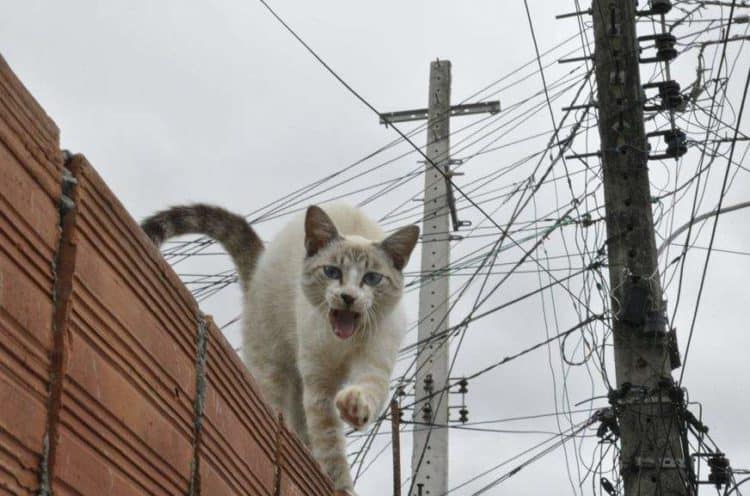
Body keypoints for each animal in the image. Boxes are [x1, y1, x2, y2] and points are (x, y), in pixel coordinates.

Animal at [142, 203, 424, 494]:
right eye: (332, 272)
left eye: (372, 278)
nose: (348, 297)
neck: (341, 343)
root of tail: (260, 265)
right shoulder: (319, 387)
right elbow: (330, 446)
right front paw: (342, 486)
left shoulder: (373, 364)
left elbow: (369, 391)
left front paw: (354, 407)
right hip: (273, 366)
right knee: (282, 409)